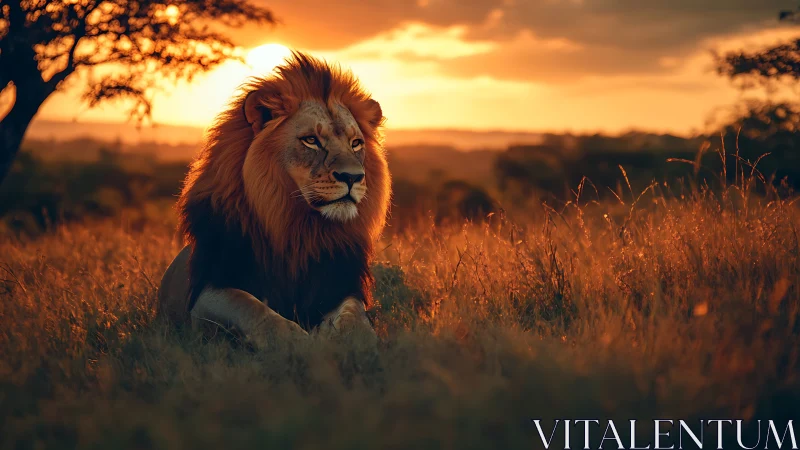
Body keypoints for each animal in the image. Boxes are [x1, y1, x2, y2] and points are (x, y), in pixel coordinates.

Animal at [157, 52, 390, 349]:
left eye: (356, 143)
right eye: (311, 140)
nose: (353, 176)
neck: (297, 228)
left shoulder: (340, 285)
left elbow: (355, 318)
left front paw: (351, 341)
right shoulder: (207, 290)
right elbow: (253, 310)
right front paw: (300, 343)